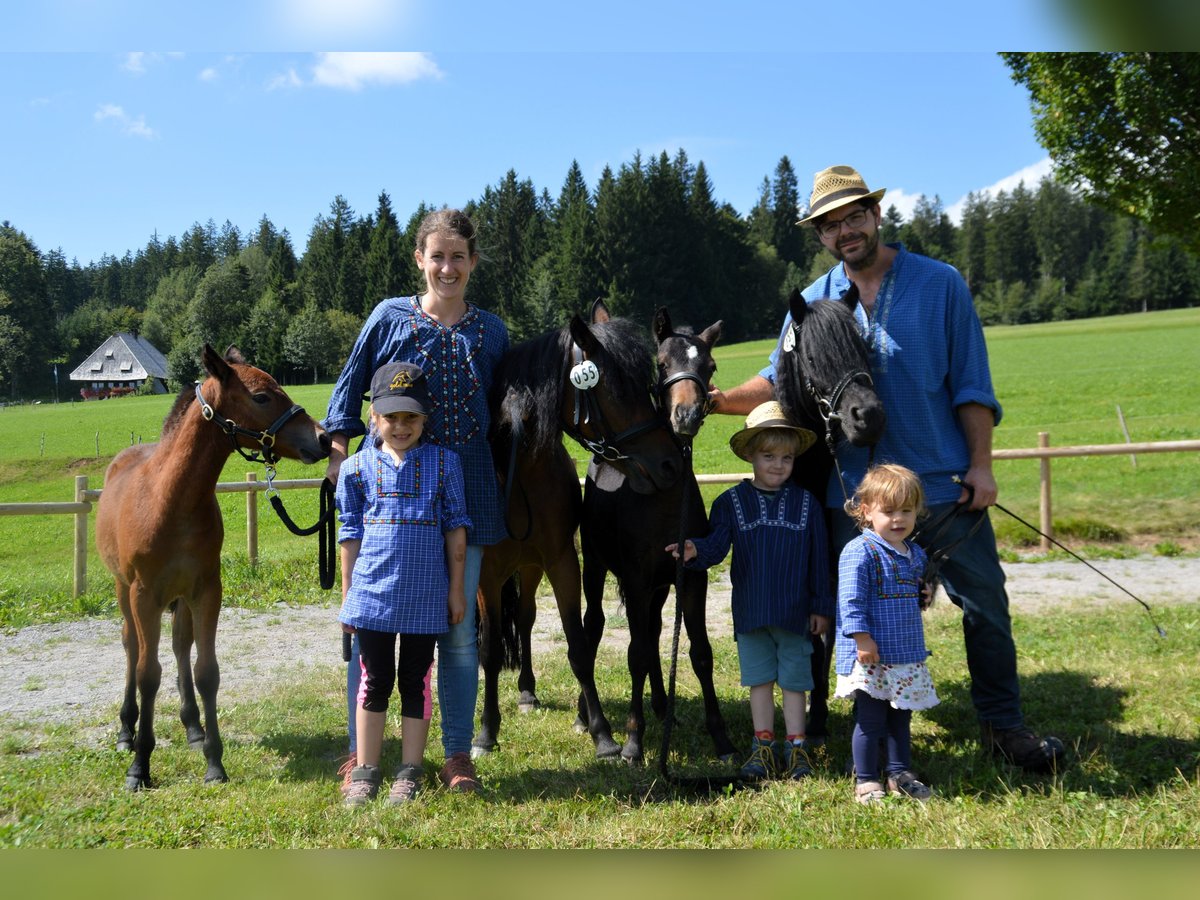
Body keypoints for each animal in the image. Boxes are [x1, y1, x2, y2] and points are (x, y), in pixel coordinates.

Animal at [96, 345, 331, 787]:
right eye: (262, 396)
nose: (323, 438)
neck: (171, 500)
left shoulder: (206, 589)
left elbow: (206, 671)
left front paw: (214, 761)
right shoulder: (144, 594)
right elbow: (147, 674)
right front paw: (140, 765)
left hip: (180, 598)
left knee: (179, 646)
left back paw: (192, 727)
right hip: (123, 589)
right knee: (131, 646)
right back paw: (125, 731)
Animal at [470, 303, 681, 763]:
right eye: (619, 392)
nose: (670, 463)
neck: (515, 476)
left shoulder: (562, 561)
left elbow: (580, 647)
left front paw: (602, 735)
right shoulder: (485, 576)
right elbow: (489, 652)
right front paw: (485, 732)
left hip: (531, 567)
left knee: (526, 618)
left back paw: (527, 691)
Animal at [576, 309, 734, 768]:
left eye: (709, 366)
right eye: (661, 364)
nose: (686, 416)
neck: (664, 498)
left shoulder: (691, 575)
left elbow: (698, 652)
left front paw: (721, 737)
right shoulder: (635, 579)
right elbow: (637, 654)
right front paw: (632, 741)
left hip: (662, 587)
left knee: (655, 627)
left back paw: (664, 706)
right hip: (595, 568)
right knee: (594, 628)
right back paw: (586, 718)